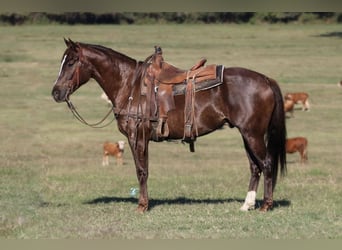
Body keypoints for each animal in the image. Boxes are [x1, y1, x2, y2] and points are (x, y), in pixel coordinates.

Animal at [50, 39, 286, 213]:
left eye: (71, 62)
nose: (56, 92)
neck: (130, 86)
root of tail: (266, 79)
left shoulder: (137, 137)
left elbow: (141, 171)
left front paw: (142, 206)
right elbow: (143, 170)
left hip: (253, 134)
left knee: (266, 164)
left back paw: (266, 206)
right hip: (247, 134)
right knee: (255, 167)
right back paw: (247, 205)